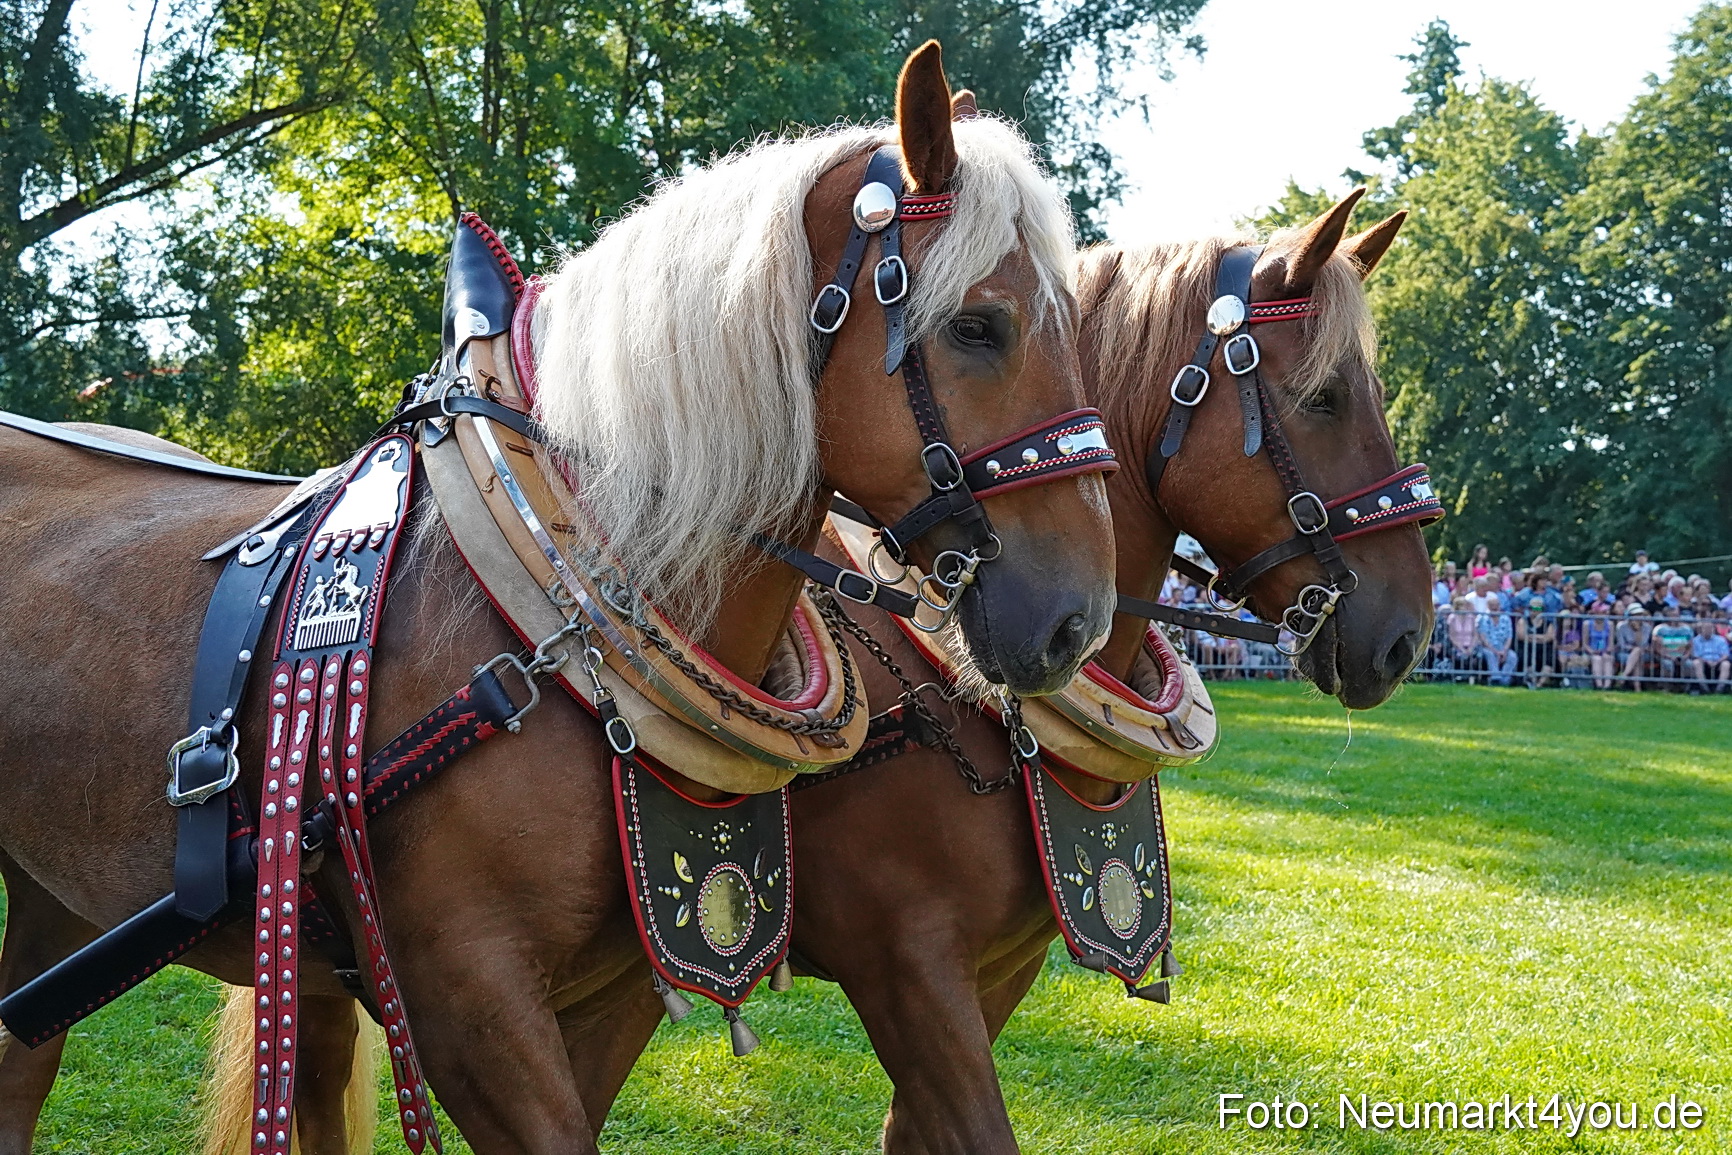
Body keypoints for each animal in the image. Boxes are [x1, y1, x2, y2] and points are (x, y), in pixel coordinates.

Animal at [0, 43, 1119, 1155]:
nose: (1077, 620)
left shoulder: (616, 989)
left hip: (62, 902)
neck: (552, 636)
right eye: (978, 326)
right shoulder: (468, 1002)